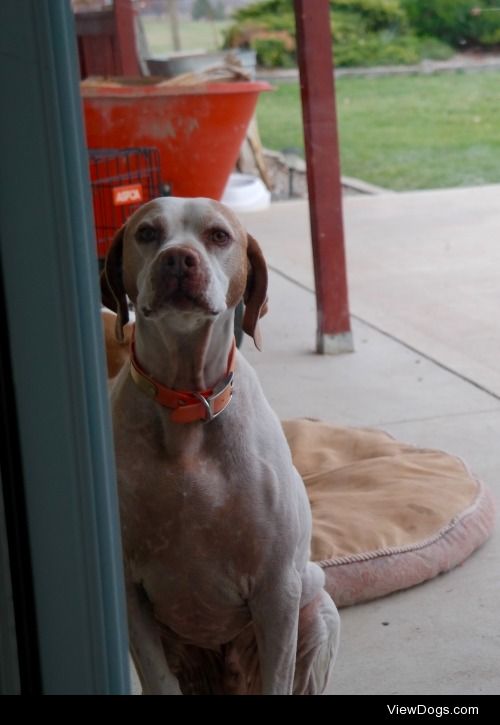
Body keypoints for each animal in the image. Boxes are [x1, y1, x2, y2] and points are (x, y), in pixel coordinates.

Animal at [102, 195, 342, 692]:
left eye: (219, 235)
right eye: (147, 233)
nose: (178, 259)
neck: (186, 407)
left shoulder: (277, 589)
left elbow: (277, 677)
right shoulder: (130, 595)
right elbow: (159, 678)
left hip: (317, 613)